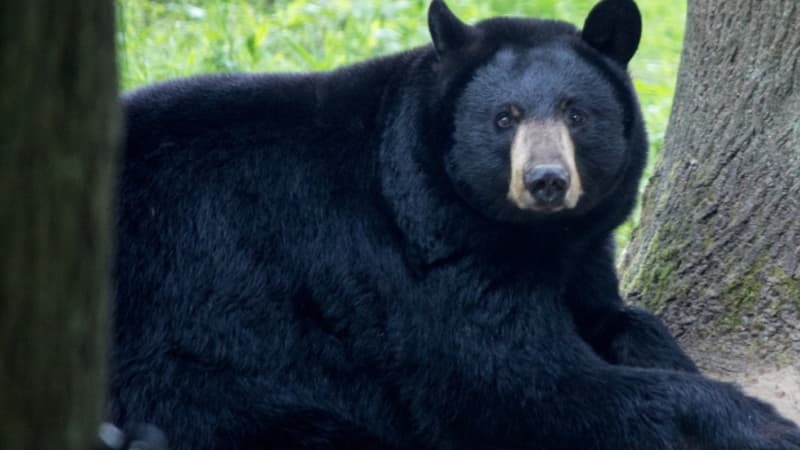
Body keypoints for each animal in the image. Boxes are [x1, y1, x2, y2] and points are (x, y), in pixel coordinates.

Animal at [112, 0, 800, 448]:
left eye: (576, 113)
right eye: (505, 117)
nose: (547, 180)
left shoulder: (581, 250)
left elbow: (616, 315)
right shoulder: (424, 263)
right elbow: (515, 384)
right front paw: (765, 423)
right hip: (186, 364)